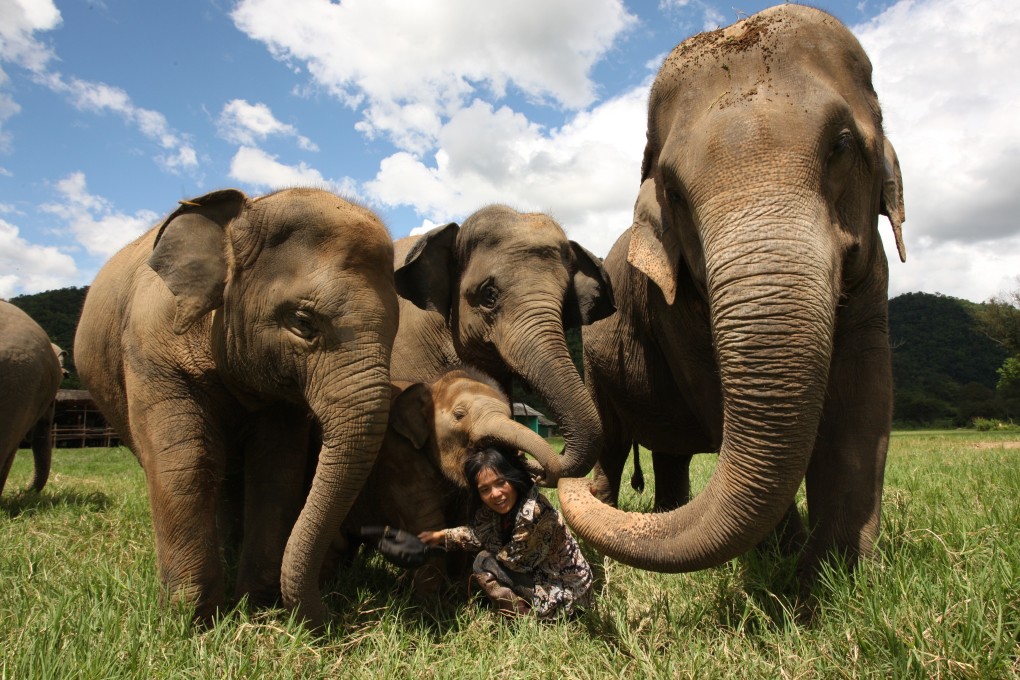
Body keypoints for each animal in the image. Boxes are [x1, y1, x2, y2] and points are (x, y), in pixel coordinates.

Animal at [74, 187, 399, 626]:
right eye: (303, 321)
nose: (340, 613)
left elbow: (276, 469)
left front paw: (258, 606)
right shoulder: (150, 350)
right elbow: (186, 460)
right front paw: (190, 621)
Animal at [328, 366, 560, 595]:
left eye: (510, 415)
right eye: (459, 415)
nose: (538, 473)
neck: (433, 386)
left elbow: (466, 524)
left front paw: (452, 592)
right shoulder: (397, 456)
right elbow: (427, 521)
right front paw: (428, 602)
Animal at [558, 4, 907, 587]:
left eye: (840, 145)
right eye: (673, 189)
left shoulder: (873, 268)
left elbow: (866, 390)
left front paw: (835, 579)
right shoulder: (669, 307)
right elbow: (712, 392)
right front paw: (786, 565)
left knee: (670, 455)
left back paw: (665, 512)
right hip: (598, 366)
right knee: (612, 440)